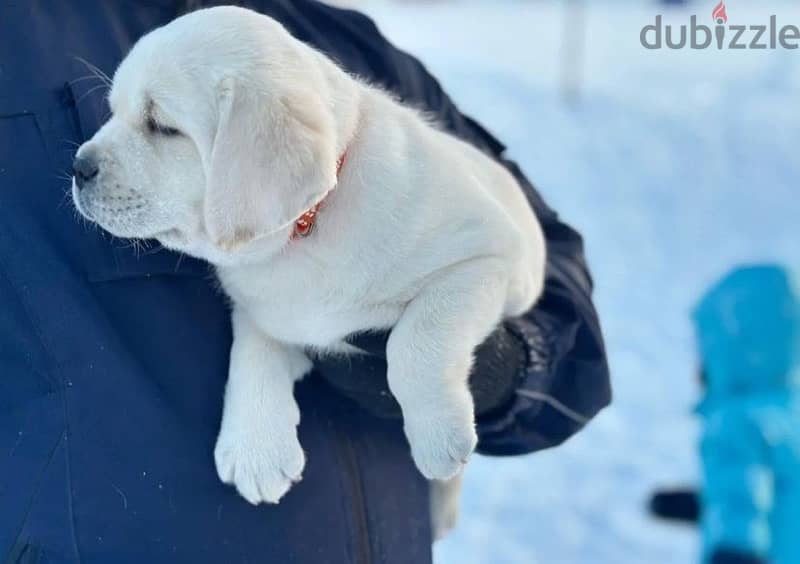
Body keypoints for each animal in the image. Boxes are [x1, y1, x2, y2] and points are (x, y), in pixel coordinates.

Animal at [72, 5, 548, 536]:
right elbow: (252, 349)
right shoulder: (268, 309)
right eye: (114, 111)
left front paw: (438, 435)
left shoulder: (490, 256)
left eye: (161, 126)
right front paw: (255, 446)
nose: (78, 167)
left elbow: (416, 340)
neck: (307, 227)